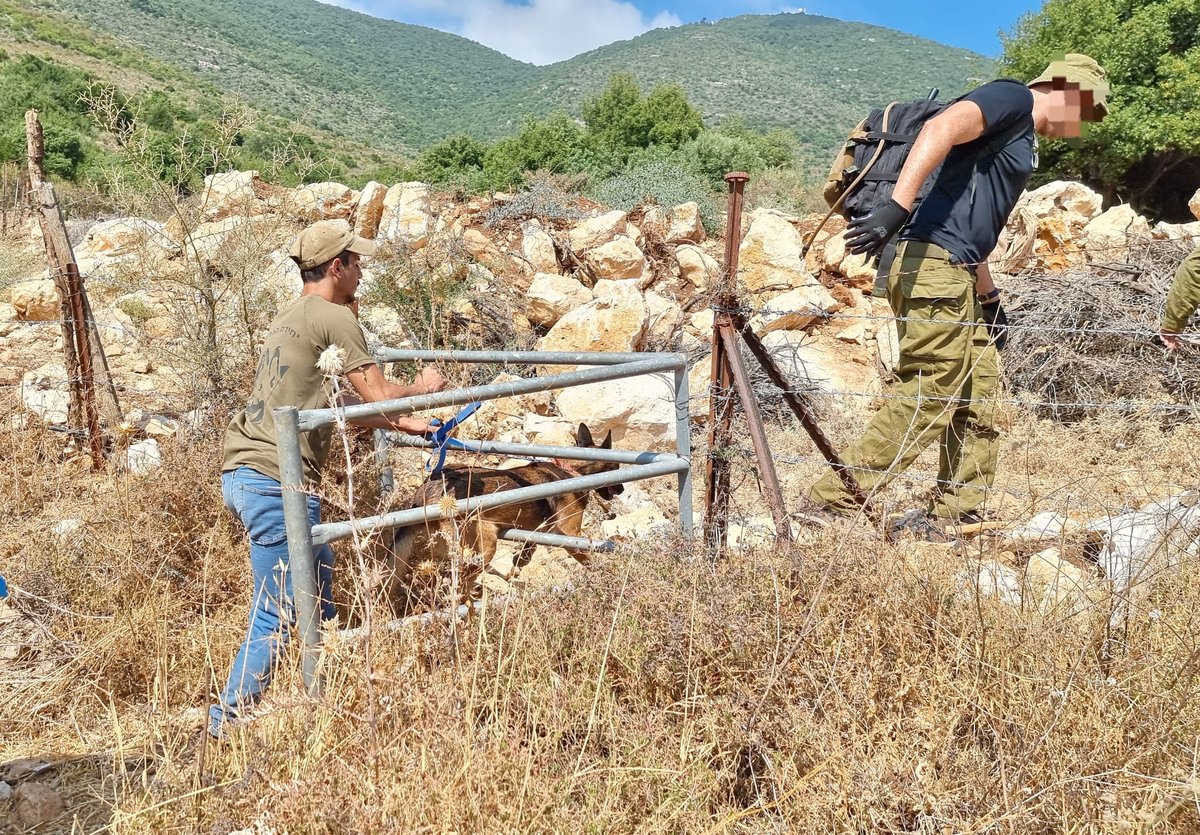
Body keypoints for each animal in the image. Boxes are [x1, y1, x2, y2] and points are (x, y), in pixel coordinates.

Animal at [386, 424, 628, 599]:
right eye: (616, 468)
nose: (623, 489)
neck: (574, 471)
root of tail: (425, 492)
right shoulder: (569, 534)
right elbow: (588, 558)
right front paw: (603, 574)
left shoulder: (537, 532)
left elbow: (526, 552)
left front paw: (517, 566)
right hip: (484, 547)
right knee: (462, 581)